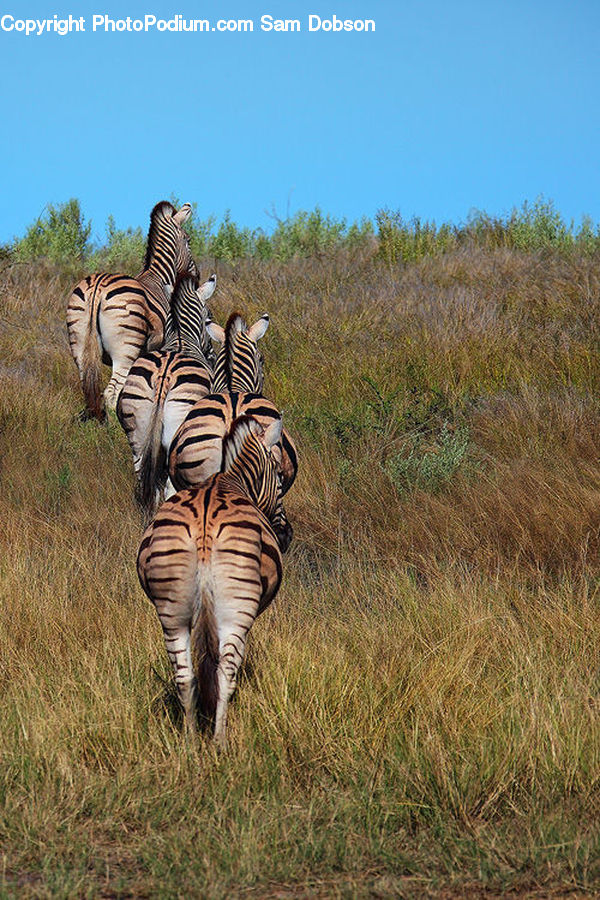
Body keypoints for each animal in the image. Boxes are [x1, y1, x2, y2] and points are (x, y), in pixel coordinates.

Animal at [66, 200, 197, 418]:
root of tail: (98, 286)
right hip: (125, 349)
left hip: (79, 342)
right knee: (111, 393)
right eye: (188, 240)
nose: (196, 274)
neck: (159, 277)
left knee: (88, 387)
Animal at [116, 278, 217, 524]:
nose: (211, 355)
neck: (181, 339)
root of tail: (165, 375)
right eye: (208, 317)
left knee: (144, 475)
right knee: (170, 483)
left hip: (137, 428)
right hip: (177, 430)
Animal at [138, 414, 292, 744]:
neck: (229, 478)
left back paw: (190, 740)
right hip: (237, 611)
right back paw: (219, 741)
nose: (286, 535)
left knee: (185, 676)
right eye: (279, 476)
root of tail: (204, 527)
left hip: (171, 612)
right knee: (225, 673)